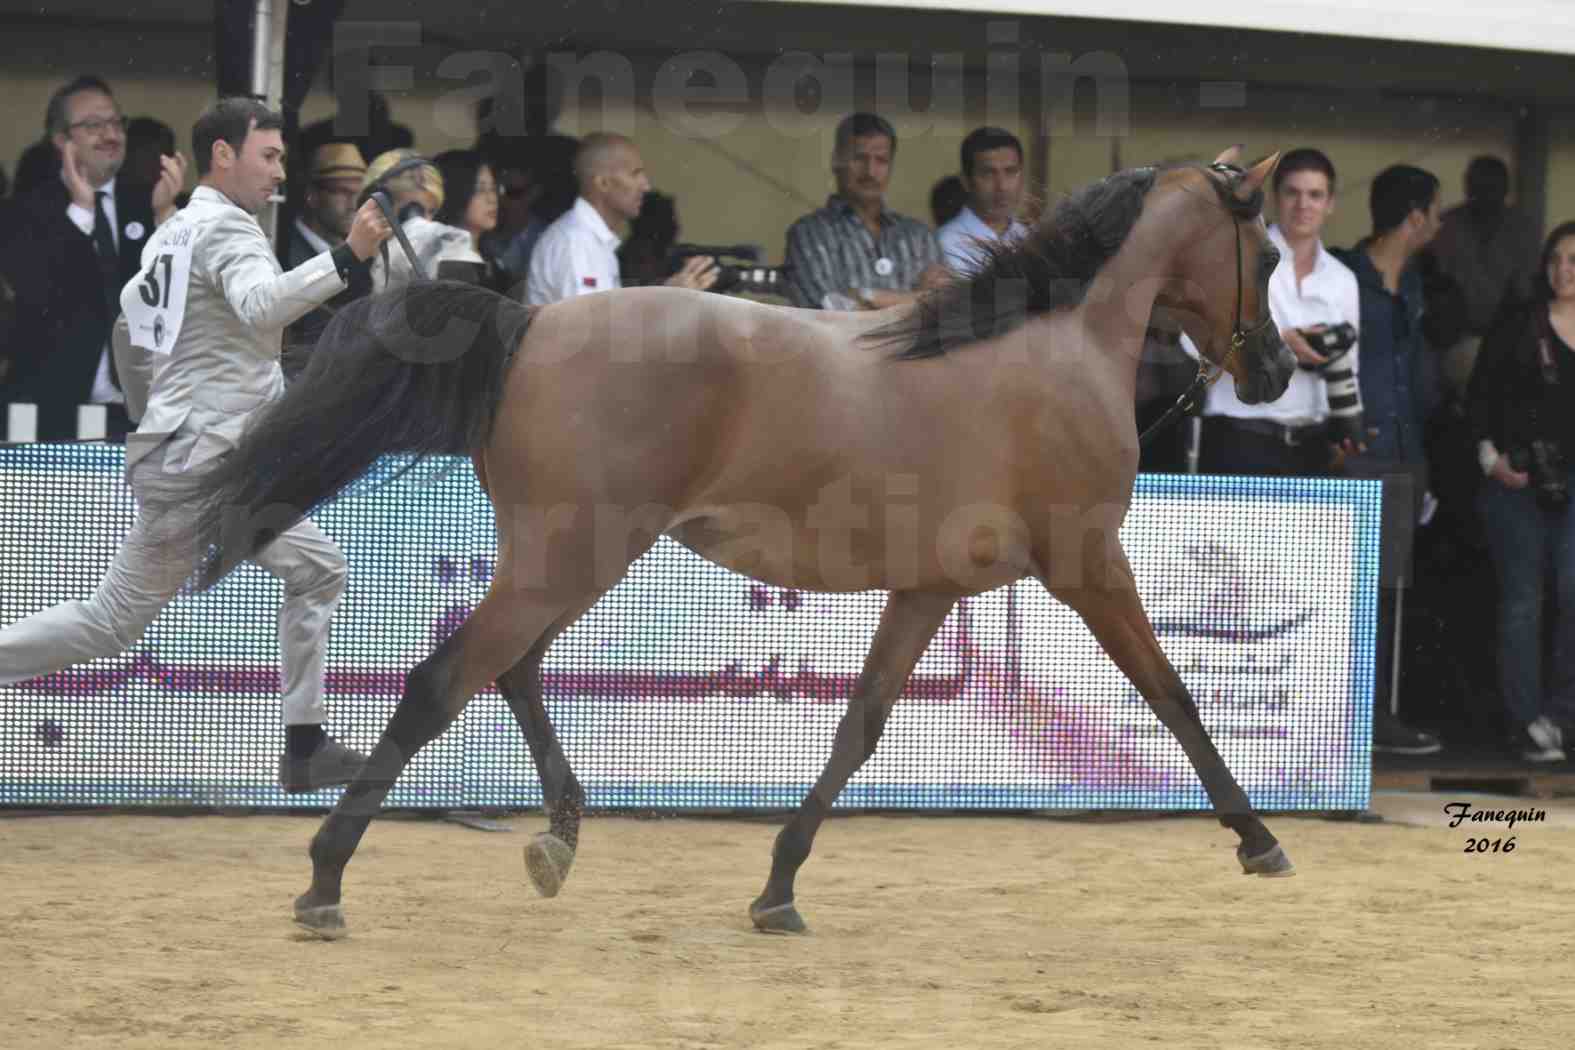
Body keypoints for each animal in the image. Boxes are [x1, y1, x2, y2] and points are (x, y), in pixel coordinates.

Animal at [156, 145, 1291, 938]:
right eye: (1272, 252)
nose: (1277, 370)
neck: (1051, 349)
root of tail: (529, 324)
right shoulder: (1088, 565)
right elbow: (1173, 696)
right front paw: (1259, 840)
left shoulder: (926, 589)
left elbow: (859, 729)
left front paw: (779, 886)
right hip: (575, 554)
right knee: (446, 680)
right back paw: (327, 879)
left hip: (572, 556)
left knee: (510, 672)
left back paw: (557, 838)